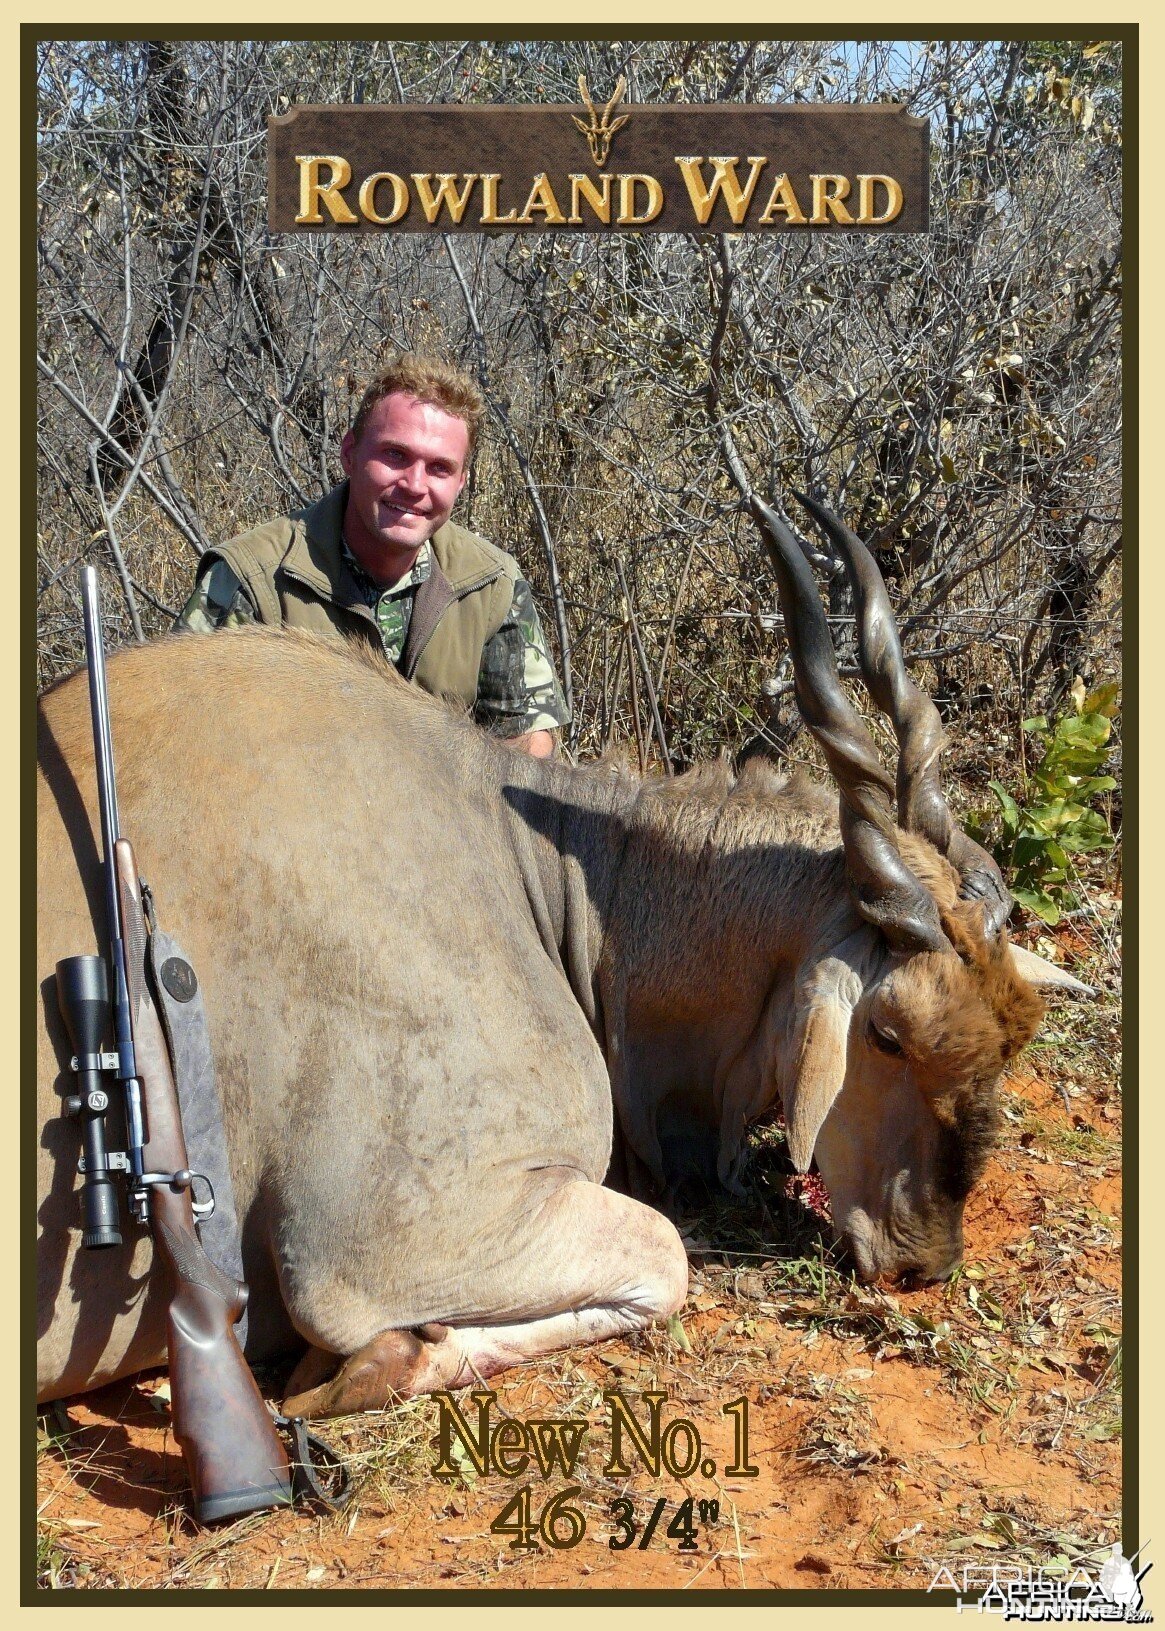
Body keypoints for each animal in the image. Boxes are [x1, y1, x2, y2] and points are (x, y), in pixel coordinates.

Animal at [38, 492, 1076, 1415]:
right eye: (888, 1036)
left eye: (1012, 1039)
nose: (921, 1258)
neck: (529, 870)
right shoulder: (368, 1245)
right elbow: (663, 1259)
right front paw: (369, 1363)